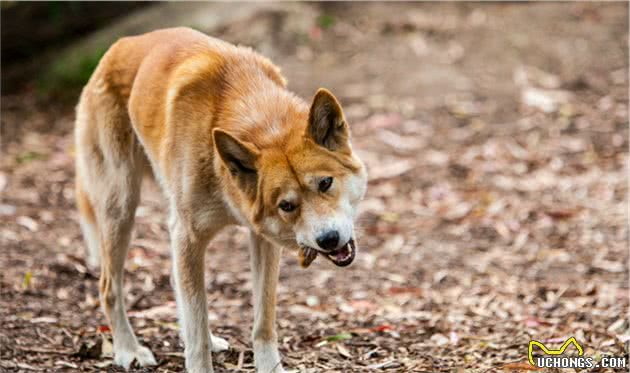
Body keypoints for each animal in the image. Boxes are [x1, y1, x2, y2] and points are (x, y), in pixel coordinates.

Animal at [76, 26, 368, 372]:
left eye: (325, 183)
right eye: (287, 206)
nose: (329, 239)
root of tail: (121, 44)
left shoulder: (261, 240)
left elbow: (263, 321)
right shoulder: (188, 236)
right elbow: (197, 330)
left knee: (177, 286)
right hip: (121, 208)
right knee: (109, 287)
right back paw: (127, 349)